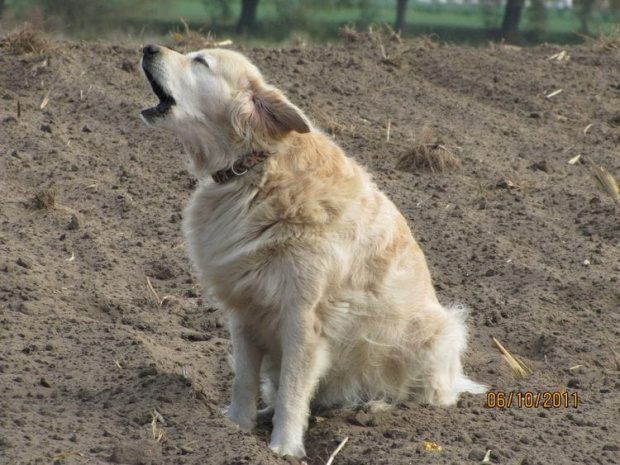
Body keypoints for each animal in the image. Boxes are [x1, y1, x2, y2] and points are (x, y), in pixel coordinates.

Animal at [139, 43, 484, 456]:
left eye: (201, 62)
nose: (148, 48)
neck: (255, 170)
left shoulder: (302, 318)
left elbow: (293, 389)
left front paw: (283, 447)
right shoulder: (244, 309)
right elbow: (244, 379)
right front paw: (236, 427)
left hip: (437, 333)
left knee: (428, 396)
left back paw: (375, 405)